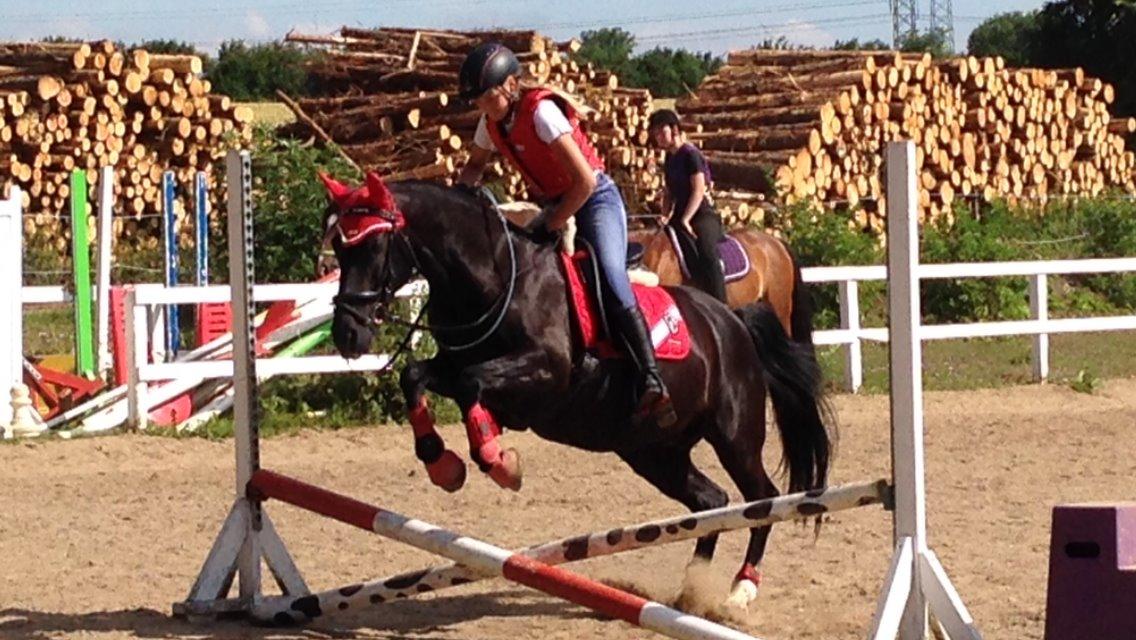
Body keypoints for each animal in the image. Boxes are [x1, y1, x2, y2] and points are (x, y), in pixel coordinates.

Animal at [324, 173, 831, 609]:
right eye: (339, 248)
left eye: (373, 245)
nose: (347, 334)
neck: (493, 277)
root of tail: (732, 321)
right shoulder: (454, 364)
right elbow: (416, 376)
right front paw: (442, 463)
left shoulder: (546, 373)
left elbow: (472, 386)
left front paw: (499, 461)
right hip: (654, 452)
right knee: (712, 503)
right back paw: (692, 589)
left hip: (734, 435)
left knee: (762, 498)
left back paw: (741, 589)